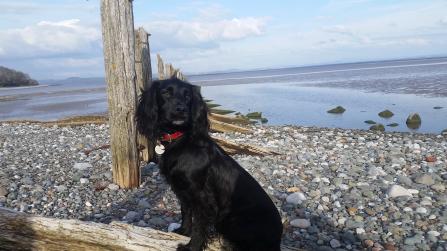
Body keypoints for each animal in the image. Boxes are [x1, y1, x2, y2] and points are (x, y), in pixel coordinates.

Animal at [136, 77, 284, 250]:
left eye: (188, 96)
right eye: (166, 92)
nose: (181, 110)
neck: (180, 140)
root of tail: (278, 238)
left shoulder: (202, 196)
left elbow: (199, 226)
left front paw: (192, 247)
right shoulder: (182, 190)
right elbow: (185, 212)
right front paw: (183, 231)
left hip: (232, 221)